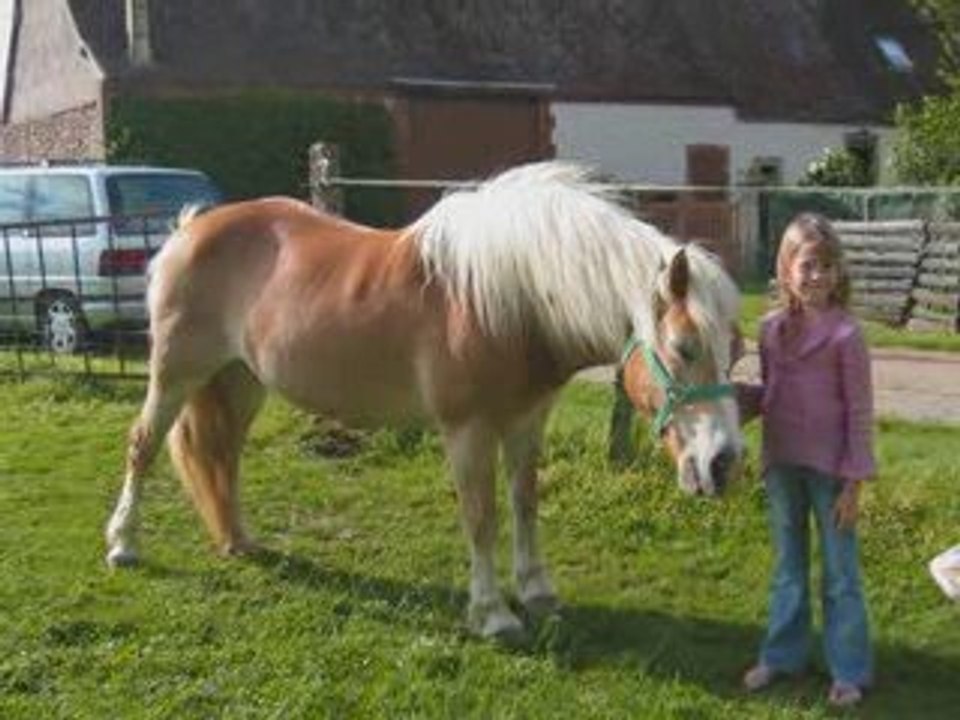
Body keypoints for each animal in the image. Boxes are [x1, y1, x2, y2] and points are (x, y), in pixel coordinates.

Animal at [105, 161, 744, 638]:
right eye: (684, 347)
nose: (723, 463)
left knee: (224, 457)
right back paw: (124, 544)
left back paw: (238, 541)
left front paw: (537, 592)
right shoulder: (467, 430)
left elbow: (525, 504)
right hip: (176, 373)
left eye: (736, 349)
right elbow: (481, 516)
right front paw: (493, 614)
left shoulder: (527, 421)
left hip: (240, 380)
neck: (512, 301)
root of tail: (189, 228)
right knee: (143, 446)